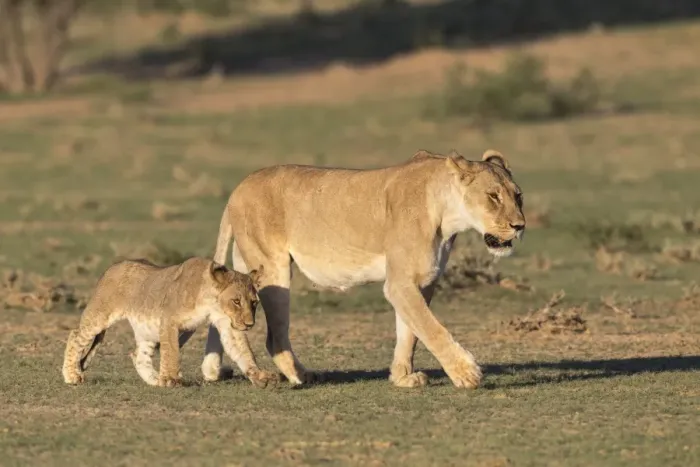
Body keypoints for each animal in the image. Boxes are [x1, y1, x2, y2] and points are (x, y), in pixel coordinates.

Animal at [61, 257, 276, 388]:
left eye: (254, 302)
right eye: (236, 301)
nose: (249, 324)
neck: (211, 301)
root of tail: (112, 267)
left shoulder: (227, 324)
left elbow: (244, 352)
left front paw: (260, 376)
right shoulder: (169, 320)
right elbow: (171, 351)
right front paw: (171, 379)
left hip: (146, 328)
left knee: (138, 354)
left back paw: (154, 380)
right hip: (100, 315)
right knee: (75, 335)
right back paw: (71, 376)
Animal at [201, 149, 525, 389]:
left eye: (518, 195)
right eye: (493, 196)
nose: (519, 226)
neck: (448, 216)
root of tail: (237, 189)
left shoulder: (422, 280)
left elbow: (410, 331)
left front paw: (402, 377)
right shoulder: (399, 283)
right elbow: (431, 328)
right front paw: (466, 374)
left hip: (246, 267)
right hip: (273, 269)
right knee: (274, 337)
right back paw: (301, 376)